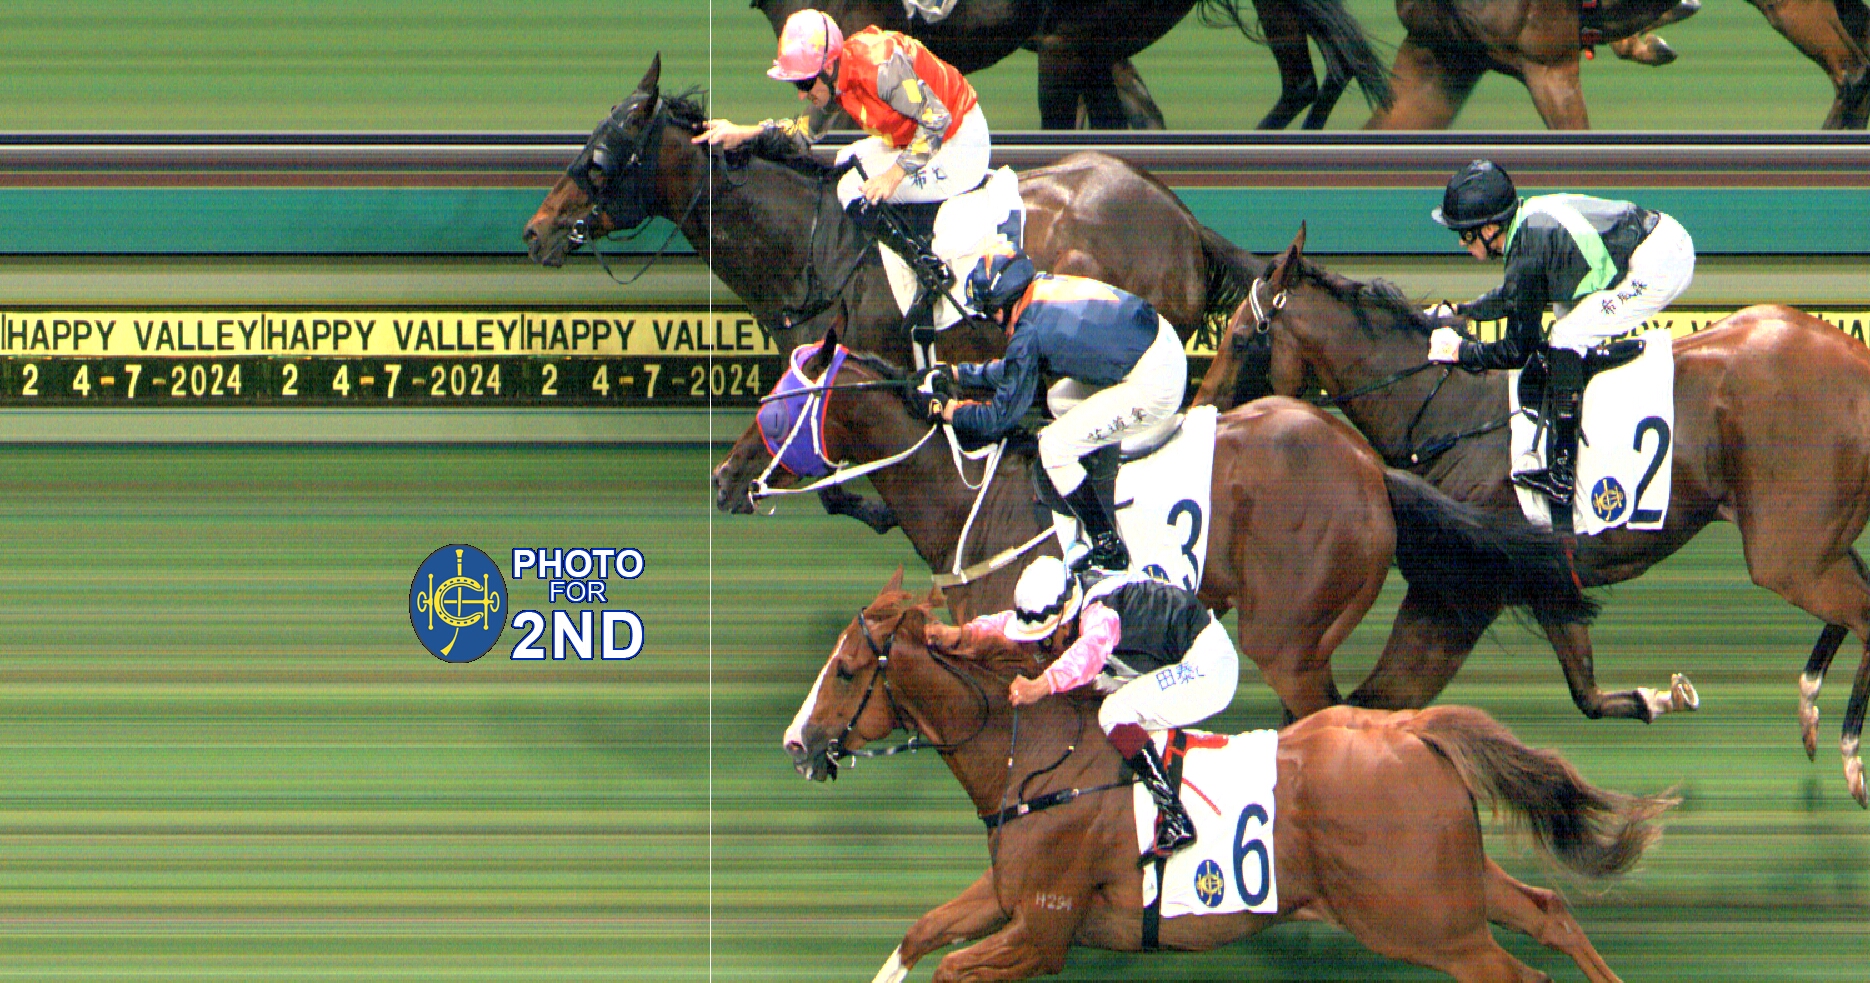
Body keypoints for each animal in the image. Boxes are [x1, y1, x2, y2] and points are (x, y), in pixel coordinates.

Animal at [784, 576, 1676, 982]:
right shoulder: (1009, 897)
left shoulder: (1041, 929)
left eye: (846, 669)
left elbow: (947, 963)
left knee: (1520, 968)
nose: (797, 742)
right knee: (1550, 912)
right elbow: (920, 934)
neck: (1037, 758)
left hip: (1420, 922)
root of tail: (1412, 729)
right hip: (1449, 888)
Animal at [1193, 224, 1870, 806]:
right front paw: (1660, 698)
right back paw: (1812, 704)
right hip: (1820, 542)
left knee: (1859, 611)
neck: (1452, 411)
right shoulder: (1547, 581)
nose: (1206, 414)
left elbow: (1380, 698)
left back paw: (1848, 753)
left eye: (1241, 338)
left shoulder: (1458, 592)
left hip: (1787, 555)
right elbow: (1586, 693)